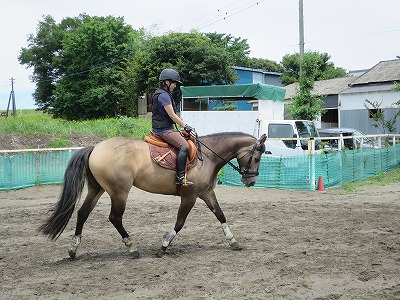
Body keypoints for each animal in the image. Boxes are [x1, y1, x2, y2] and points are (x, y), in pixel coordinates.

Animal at [39, 132, 268, 258]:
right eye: (257, 157)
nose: (250, 181)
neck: (208, 157)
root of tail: (95, 147)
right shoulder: (190, 197)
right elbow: (179, 223)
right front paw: (163, 247)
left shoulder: (206, 193)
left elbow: (221, 215)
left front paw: (233, 241)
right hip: (119, 192)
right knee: (115, 218)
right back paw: (132, 248)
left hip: (97, 189)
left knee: (82, 214)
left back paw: (73, 250)